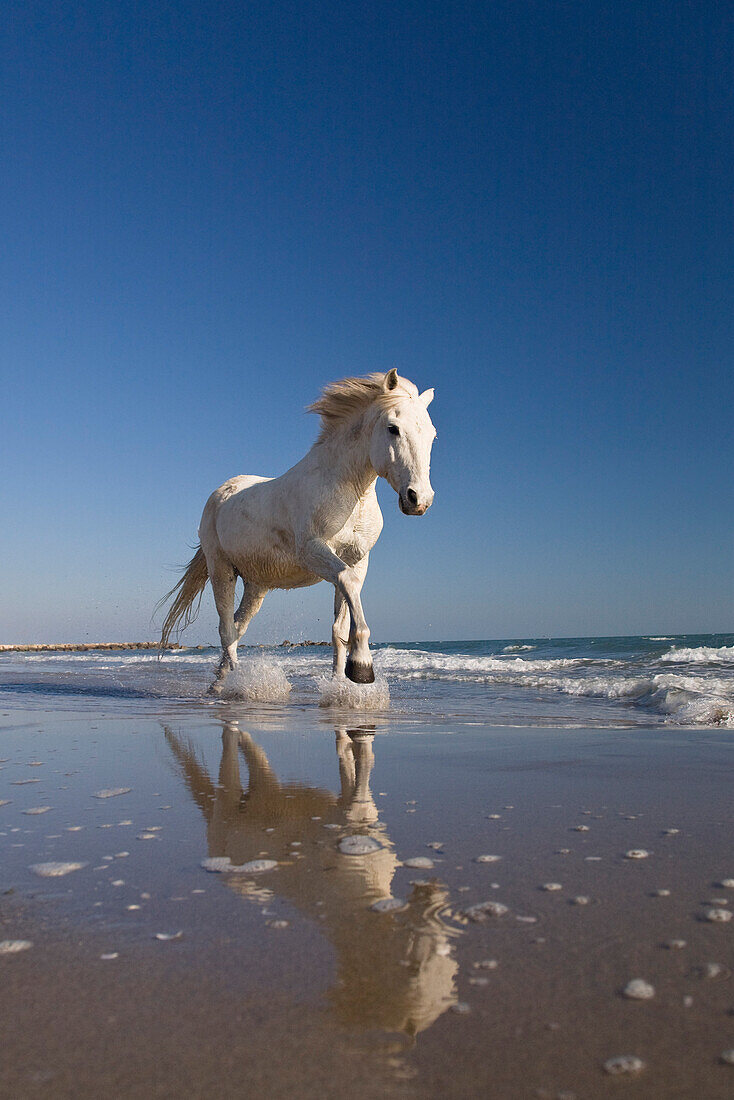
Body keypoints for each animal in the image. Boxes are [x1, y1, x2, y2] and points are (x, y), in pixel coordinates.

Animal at [159, 369, 435, 695]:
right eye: (393, 429)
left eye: (432, 435)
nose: (419, 499)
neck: (349, 491)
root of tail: (222, 492)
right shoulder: (313, 552)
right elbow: (348, 583)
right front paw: (362, 667)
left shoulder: (358, 559)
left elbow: (341, 622)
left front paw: (342, 682)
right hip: (220, 568)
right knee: (226, 627)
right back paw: (237, 684)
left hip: (256, 584)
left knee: (238, 627)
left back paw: (220, 681)